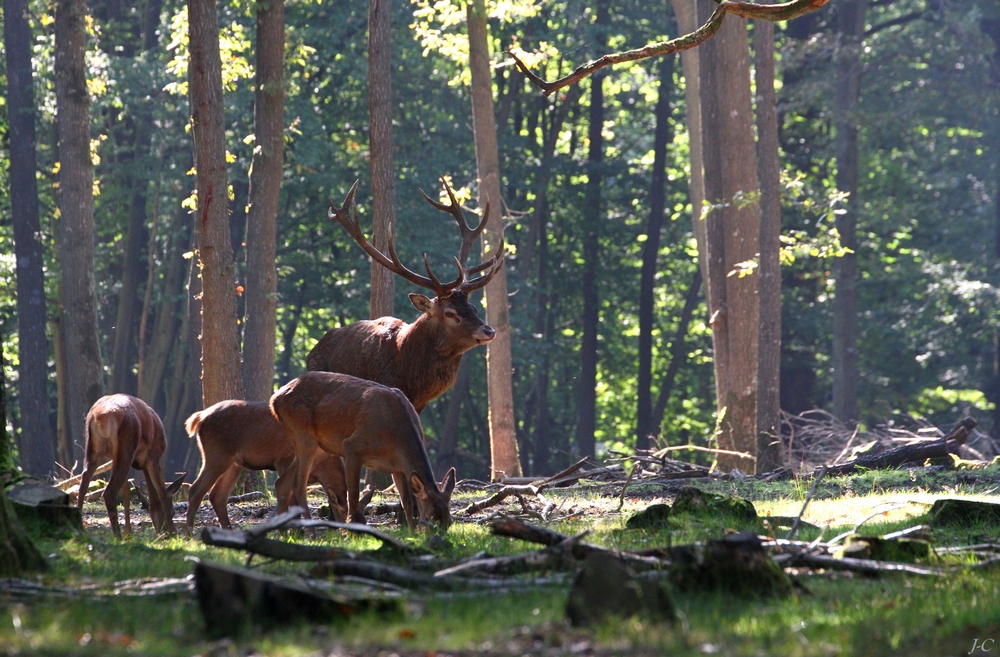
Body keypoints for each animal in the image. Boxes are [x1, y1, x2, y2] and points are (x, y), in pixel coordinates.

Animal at [79, 394, 177, 540]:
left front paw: (128, 533)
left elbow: (126, 493)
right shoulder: (155, 456)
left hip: (94, 448)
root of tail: (101, 416)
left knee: (84, 479)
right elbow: (161, 492)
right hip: (127, 444)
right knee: (109, 492)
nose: (162, 532)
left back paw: (80, 527)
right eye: (174, 512)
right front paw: (173, 533)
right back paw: (117, 536)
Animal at [184, 398, 352, 532]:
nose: (344, 532)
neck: (320, 468)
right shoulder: (283, 459)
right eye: (344, 511)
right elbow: (290, 496)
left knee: (217, 495)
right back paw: (189, 533)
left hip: (234, 463)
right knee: (195, 490)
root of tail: (199, 418)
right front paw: (295, 532)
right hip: (217, 455)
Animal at [274, 372, 460, 532]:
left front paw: (411, 533)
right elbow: (353, 495)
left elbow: (407, 501)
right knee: (298, 484)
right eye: (428, 518)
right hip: (303, 433)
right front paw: (351, 529)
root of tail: (274, 399)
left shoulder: (397, 468)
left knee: (282, 482)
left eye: (449, 521)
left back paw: (282, 531)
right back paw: (310, 532)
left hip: (321, 447)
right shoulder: (351, 447)